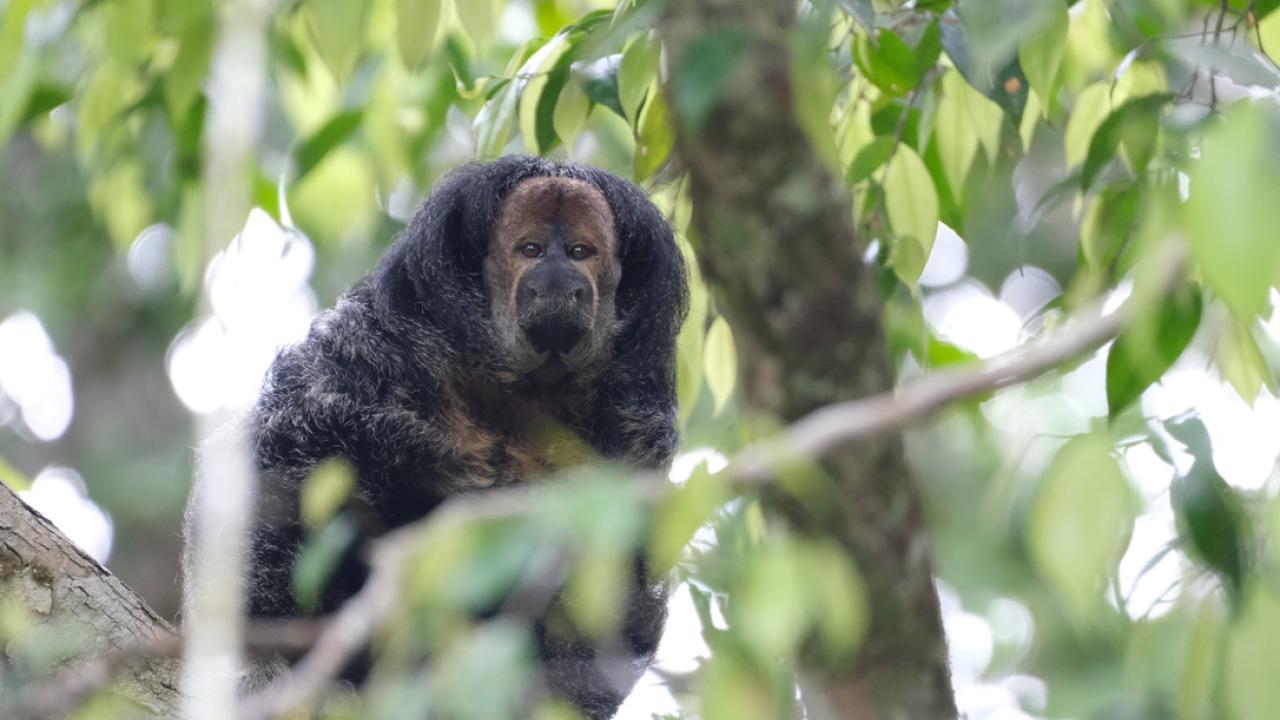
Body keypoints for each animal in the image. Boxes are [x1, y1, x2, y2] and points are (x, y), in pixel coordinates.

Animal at [183, 156, 689, 719]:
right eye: (531, 249)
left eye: (581, 252)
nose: (560, 278)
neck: (522, 388)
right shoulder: (377, 352)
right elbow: (279, 464)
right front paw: (259, 665)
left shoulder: (634, 429)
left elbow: (620, 568)